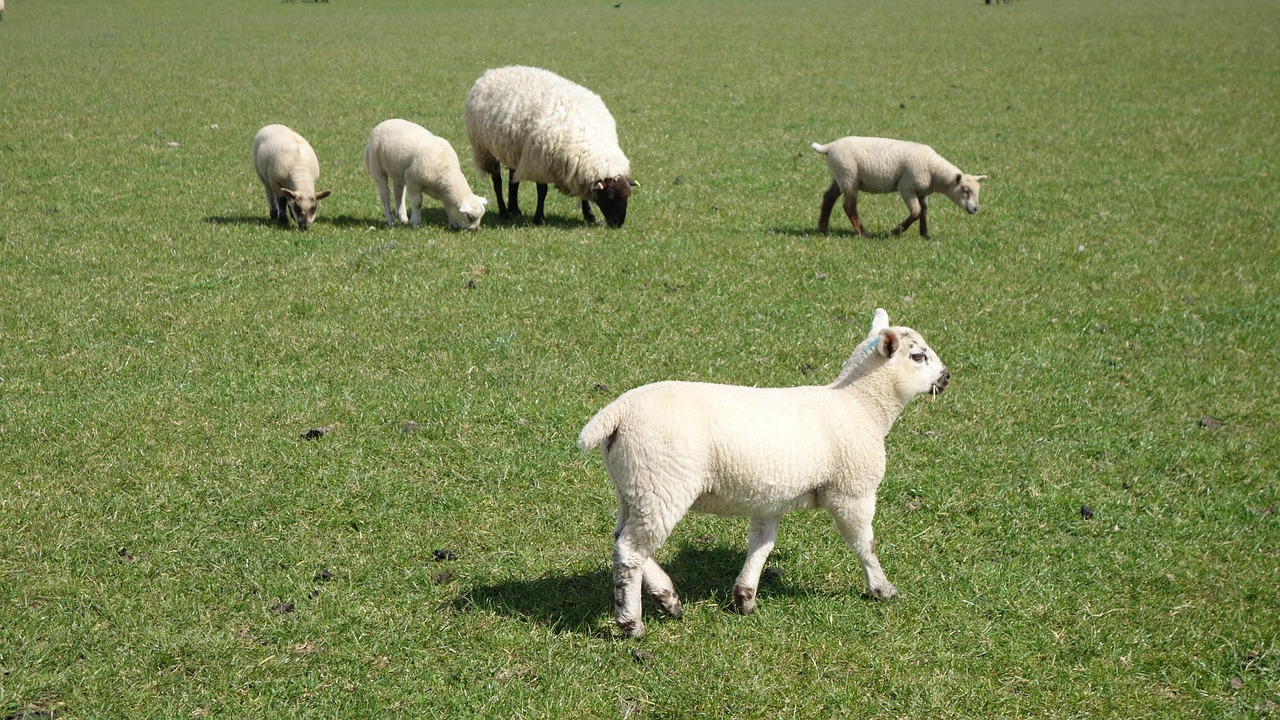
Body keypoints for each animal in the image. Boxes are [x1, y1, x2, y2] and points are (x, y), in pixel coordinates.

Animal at [463, 65, 637, 228]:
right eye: (610, 197)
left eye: (627, 195)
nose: (617, 224)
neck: (586, 139)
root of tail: (492, 72)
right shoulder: (541, 164)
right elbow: (542, 192)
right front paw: (539, 218)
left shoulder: (578, 169)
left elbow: (582, 195)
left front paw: (590, 215)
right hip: (486, 149)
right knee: (497, 183)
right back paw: (504, 212)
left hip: (513, 149)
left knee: (513, 179)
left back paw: (515, 209)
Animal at [577, 308, 950, 637]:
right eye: (918, 356)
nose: (946, 377)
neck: (861, 406)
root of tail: (618, 411)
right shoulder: (852, 491)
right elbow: (864, 543)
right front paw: (881, 588)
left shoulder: (771, 499)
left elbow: (762, 544)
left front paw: (744, 597)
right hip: (661, 483)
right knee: (630, 552)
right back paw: (631, 623)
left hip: (633, 486)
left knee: (623, 540)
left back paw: (667, 598)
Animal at [812, 136, 987, 239]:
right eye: (965, 191)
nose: (975, 209)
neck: (933, 169)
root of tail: (829, 146)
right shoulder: (906, 187)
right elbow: (916, 211)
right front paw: (895, 231)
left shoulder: (922, 191)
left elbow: (924, 210)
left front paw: (925, 234)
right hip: (849, 176)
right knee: (849, 206)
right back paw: (862, 233)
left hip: (840, 176)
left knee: (828, 196)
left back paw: (823, 228)